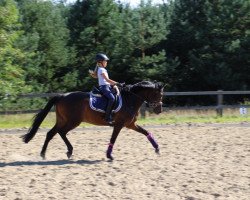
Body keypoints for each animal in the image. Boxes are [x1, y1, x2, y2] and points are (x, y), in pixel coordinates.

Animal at [21, 80, 165, 160]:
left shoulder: (131, 124)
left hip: (62, 120)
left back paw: (43, 154)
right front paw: (109, 155)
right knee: (61, 132)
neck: (130, 99)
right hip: (73, 121)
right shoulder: (119, 125)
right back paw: (69, 151)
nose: (159, 110)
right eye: (158, 94)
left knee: (51, 133)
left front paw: (157, 149)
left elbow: (146, 133)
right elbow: (113, 139)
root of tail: (62, 96)